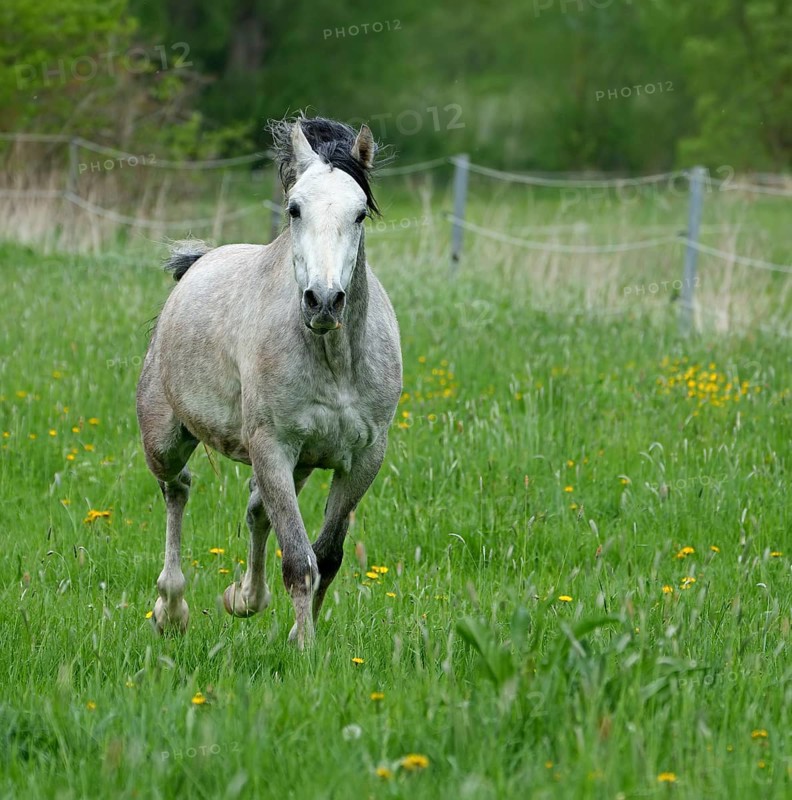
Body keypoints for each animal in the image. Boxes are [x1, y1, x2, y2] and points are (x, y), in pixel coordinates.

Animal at [136, 116, 402, 648]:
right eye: (294, 209)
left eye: (360, 213)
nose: (324, 300)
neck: (334, 364)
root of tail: (196, 264)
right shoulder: (272, 446)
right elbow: (300, 561)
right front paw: (306, 650)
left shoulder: (363, 460)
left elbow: (328, 556)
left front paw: (301, 634)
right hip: (167, 441)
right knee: (177, 489)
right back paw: (171, 609)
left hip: (299, 464)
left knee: (256, 509)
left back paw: (244, 598)